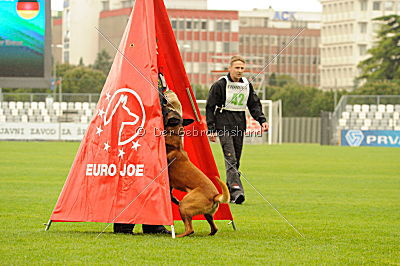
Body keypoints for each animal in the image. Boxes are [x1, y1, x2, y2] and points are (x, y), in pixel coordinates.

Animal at [163, 109, 231, 238]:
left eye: (169, 111)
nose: (164, 105)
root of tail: (215, 196)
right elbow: (170, 194)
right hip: (206, 214)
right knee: (214, 228)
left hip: (184, 205)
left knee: (190, 229)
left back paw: (177, 236)